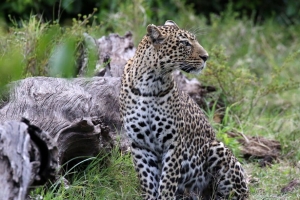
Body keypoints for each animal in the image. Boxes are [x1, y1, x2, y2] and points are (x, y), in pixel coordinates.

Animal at [119, 19, 248, 199]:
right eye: (185, 43)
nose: (206, 57)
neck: (150, 82)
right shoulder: (140, 145)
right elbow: (148, 181)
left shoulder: (174, 144)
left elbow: (167, 183)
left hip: (218, 149)